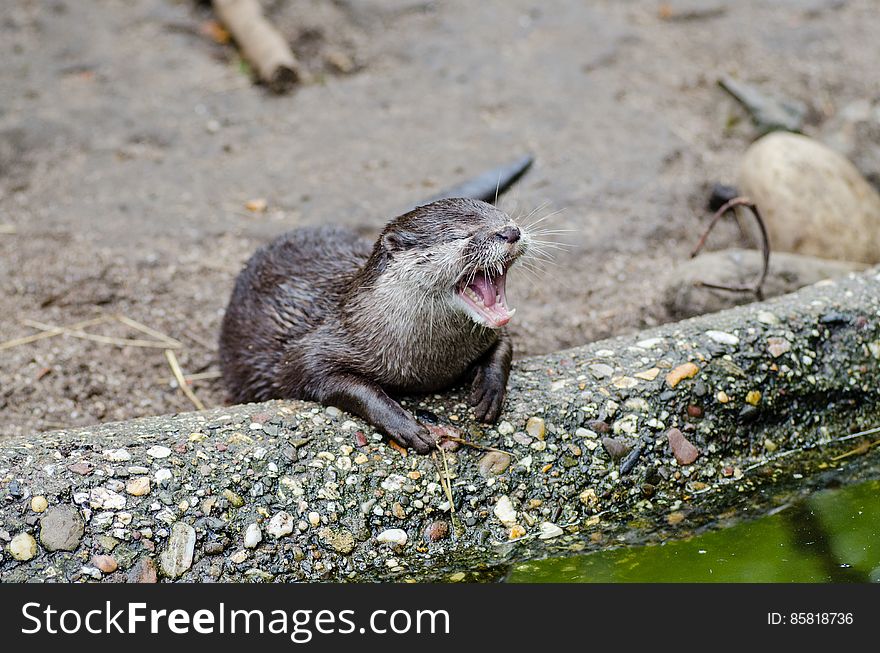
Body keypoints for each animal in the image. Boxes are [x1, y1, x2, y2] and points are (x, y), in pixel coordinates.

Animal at [218, 199, 528, 450]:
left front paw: (489, 390)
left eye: (505, 216)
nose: (512, 232)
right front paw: (406, 427)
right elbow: (347, 386)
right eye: (461, 235)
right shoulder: (310, 353)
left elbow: (505, 345)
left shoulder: (490, 333)